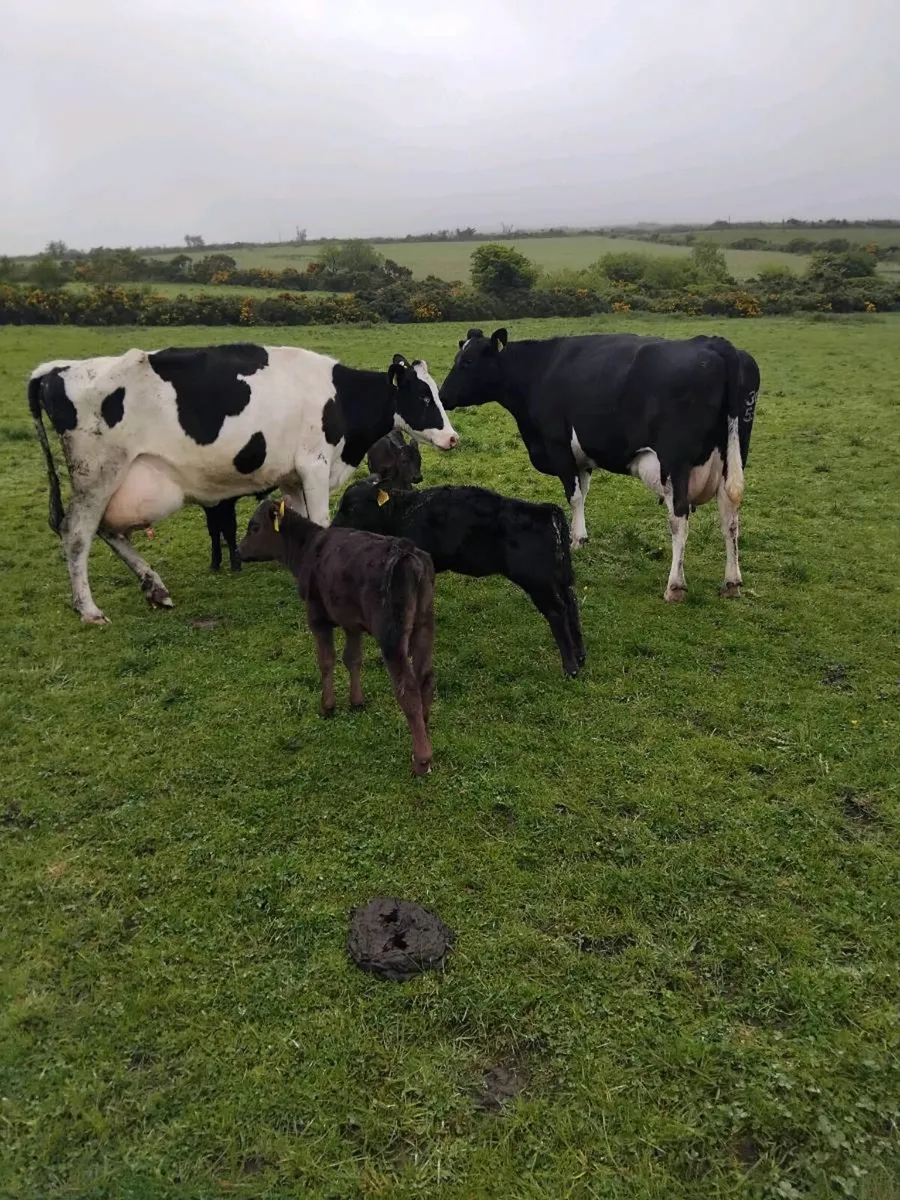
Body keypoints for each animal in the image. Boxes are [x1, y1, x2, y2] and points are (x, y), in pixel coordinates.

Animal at [27, 343, 458, 623]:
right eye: (423, 397)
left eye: (436, 394)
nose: (453, 438)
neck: (338, 398)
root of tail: (56, 370)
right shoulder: (314, 465)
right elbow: (320, 522)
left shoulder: (292, 477)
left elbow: (298, 522)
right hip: (97, 473)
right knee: (77, 534)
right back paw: (89, 609)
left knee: (107, 531)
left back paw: (155, 587)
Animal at [238, 498, 437, 776]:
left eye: (254, 526)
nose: (238, 550)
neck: (308, 548)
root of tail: (407, 552)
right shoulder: (351, 622)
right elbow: (352, 658)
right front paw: (356, 701)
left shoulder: (317, 617)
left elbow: (326, 661)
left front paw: (328, 706)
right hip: (424, 625)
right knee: (425, 680)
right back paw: (424, 738)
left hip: (391, 635)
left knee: (407, 688)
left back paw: (421, 760)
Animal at [333, 480, 585, 677]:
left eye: (351, 507)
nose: (334, 528)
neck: (402, 513)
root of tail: (544, 510)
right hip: (558, 578)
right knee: (571, 604)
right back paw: (581, 656)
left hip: (539, 583)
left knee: (557, 612)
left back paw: (570, 667)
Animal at [439, 328, 760, 602]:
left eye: (467, 362)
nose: (441, 396)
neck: (538, 370)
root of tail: (716, 344)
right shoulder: (582, 458)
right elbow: (583, 492)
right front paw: (581, 536)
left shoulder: (558, 446)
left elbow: (573, 495)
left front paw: (576, 540)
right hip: (733, 456)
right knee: (730, 515)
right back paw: (732, 581)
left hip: (675, 462)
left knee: (679, 517)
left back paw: (675, 586)